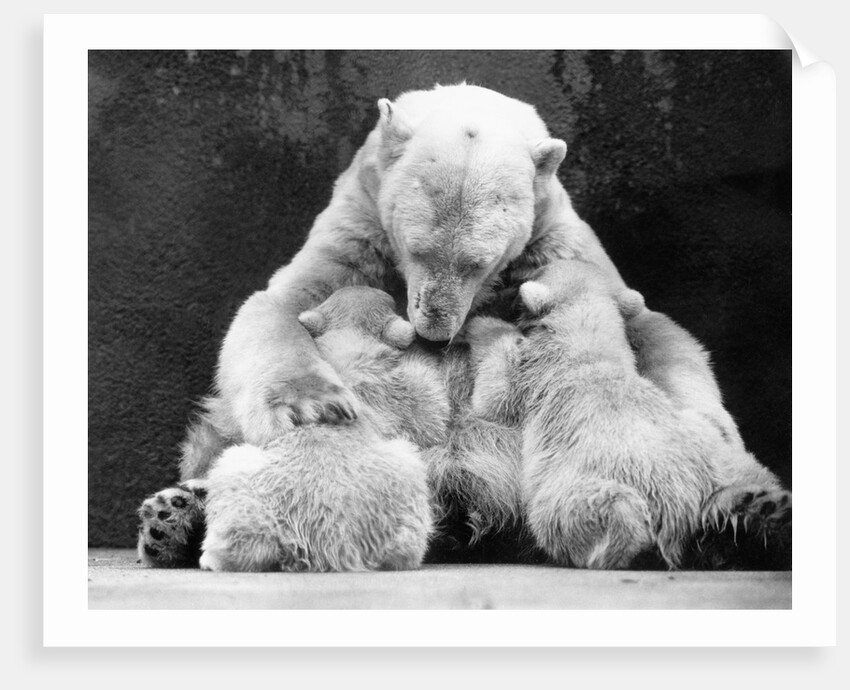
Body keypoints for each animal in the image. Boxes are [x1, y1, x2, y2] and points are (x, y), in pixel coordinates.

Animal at [463, 259, 790, 568]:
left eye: (533, 272)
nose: (509, 284)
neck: (588, 345)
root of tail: (683, 506)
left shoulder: (534, 379)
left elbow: (495, 395)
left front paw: (479, 325)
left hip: (587, 485)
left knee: (584, 511)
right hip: (716, 455)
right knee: (748, 476)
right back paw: (767, 514)